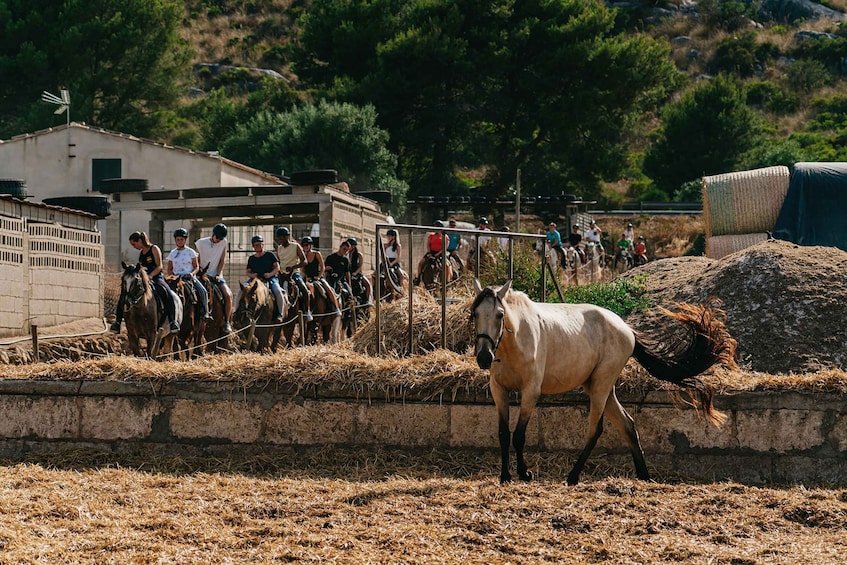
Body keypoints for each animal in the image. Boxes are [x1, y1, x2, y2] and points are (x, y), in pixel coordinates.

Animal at [474, 280, 740, 482]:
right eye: (474, 313)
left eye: (499, 314)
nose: (484, 357)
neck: (515, 341)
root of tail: (627, 329)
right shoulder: (499, 390)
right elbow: (503, 433)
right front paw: (505, 476)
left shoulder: (531, 391)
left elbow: (519, 434)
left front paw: (524, 474)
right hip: (601, 387)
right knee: (628, 424)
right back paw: (643, 475)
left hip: (600, 387)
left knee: (596, 429)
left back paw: (573, 476)